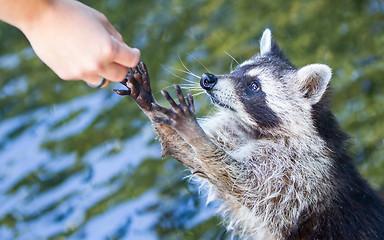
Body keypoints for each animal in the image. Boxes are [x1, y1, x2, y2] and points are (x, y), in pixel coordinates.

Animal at [114, 29, 384, 239]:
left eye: (254, 86)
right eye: (237, 70)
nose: (207, 79)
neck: (257, 130)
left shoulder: (299, 172)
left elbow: (243, 183)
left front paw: (194, 135)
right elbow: (190, 156)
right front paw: (151, 107)